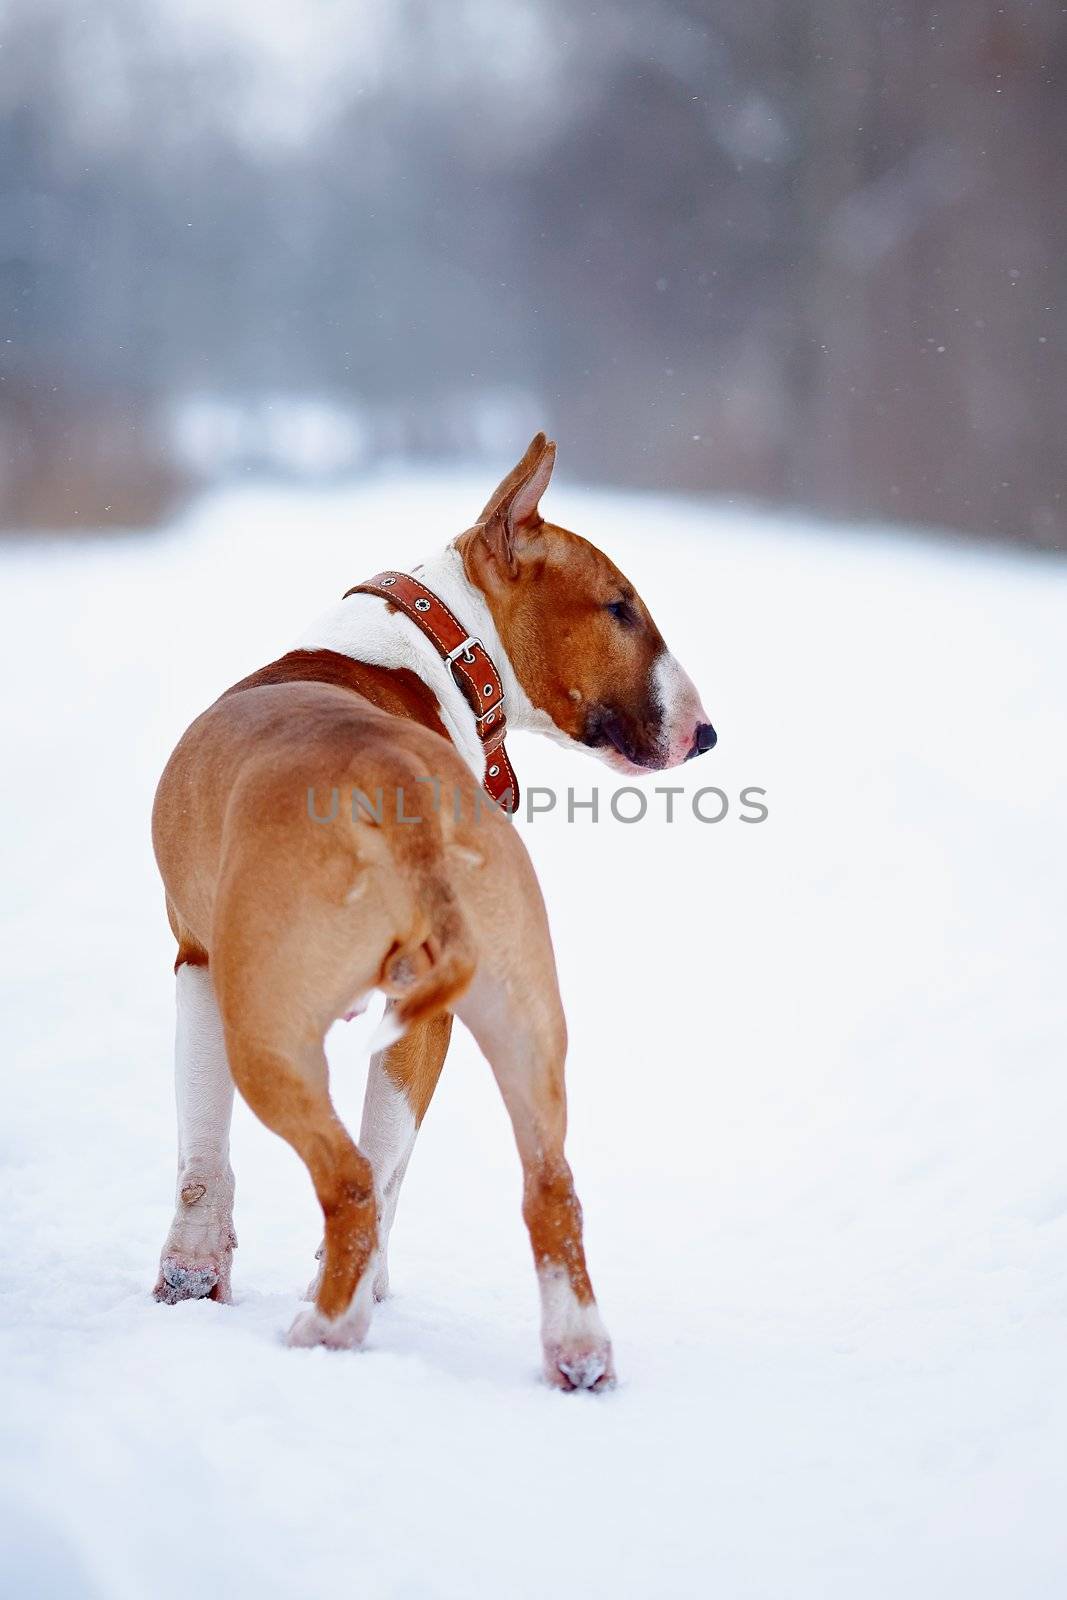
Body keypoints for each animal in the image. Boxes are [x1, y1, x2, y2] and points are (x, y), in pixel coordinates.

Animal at [150, 435, 713, 1388]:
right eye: (619, 608)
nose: (705, 734)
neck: (438, 649)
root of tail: (396, 782)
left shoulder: (196, 962)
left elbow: (202, 1145)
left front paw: (189, 1278)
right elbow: (384, 1163)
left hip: (267, 1023)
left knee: (347, 1180)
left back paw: (324, 1331)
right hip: (517, 1014)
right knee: (543, 1186)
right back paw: (575, 1354)